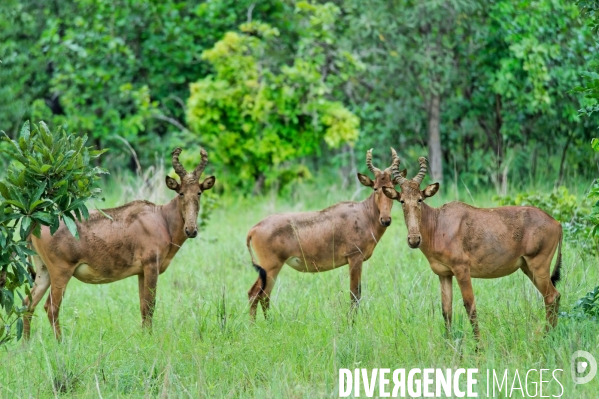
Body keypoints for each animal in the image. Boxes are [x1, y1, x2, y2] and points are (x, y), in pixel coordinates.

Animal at [23, 148, 216, 340]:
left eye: (199, 192)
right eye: (181, 192)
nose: (191, 230)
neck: (161, 218)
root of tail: (35, 225)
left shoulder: (141, 272)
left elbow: (143, 306)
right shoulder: (151, 266)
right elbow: (150, 304)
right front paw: (149, 338)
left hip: (43, 271)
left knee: (28, 303)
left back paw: (26, 343)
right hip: (61, 272)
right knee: (51, 307)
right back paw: (60, 342)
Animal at [245, 148, 408, 320]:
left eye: (392, 188)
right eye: (375, 188)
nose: (385, 220)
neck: (364, 213)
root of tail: (254, 228)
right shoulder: (355, 258)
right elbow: (355, 293)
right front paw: (352, 322)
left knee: (264, 295)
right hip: (270, 267)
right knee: (255, 294)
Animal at [382, 156, 564, 340]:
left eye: (420, 199)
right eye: (402, 200)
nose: (414, 239)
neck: (439, 223)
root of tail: (557, 223)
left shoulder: (462, 269)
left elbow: (470, 306)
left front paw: (479, 346)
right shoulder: (444, 274)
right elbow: (446, 310)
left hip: (538, 265)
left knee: (551, 296)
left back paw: (547, 337)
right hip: (527, 267)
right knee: (554, 296)